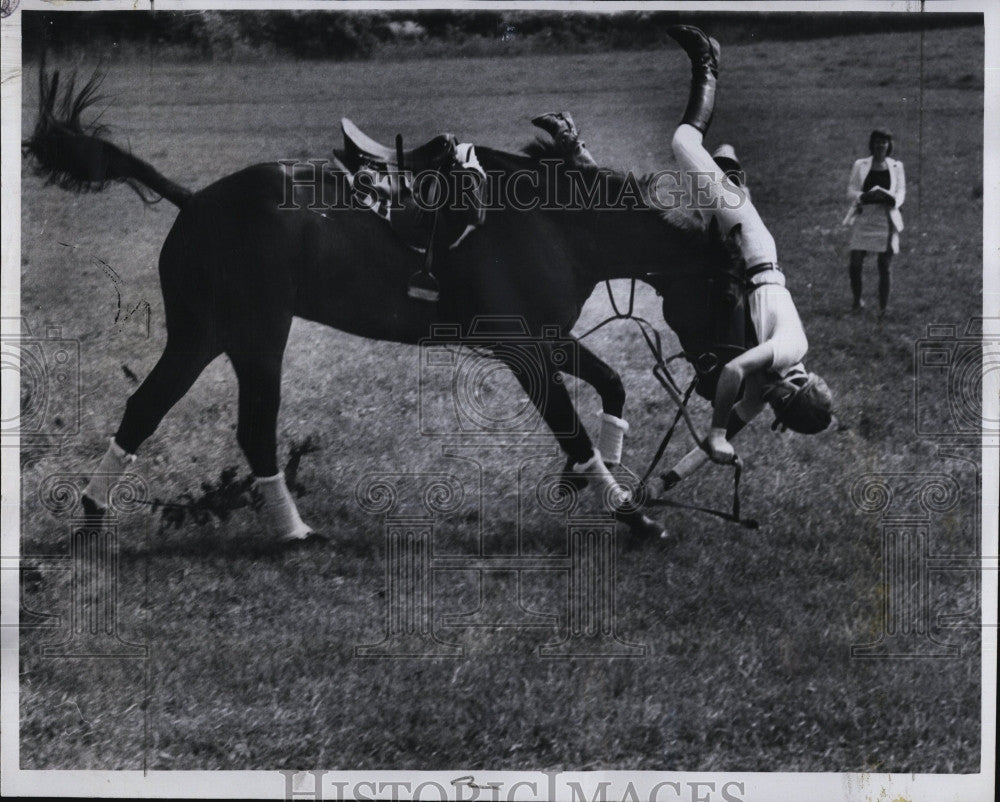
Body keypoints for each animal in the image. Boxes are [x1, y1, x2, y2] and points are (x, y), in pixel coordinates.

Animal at [23, 65, 728, 548]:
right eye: (727, 290)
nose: (720, 373)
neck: (553, 221)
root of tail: (193, 200)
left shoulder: (547, 335)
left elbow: (610, 387)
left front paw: (589, 478)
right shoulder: (521, 348)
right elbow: (571, 425)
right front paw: (633, 515)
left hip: (205, 334)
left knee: (145, 409)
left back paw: (94, 517)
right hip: (255, 334)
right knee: (252, 428)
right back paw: (295, 534)